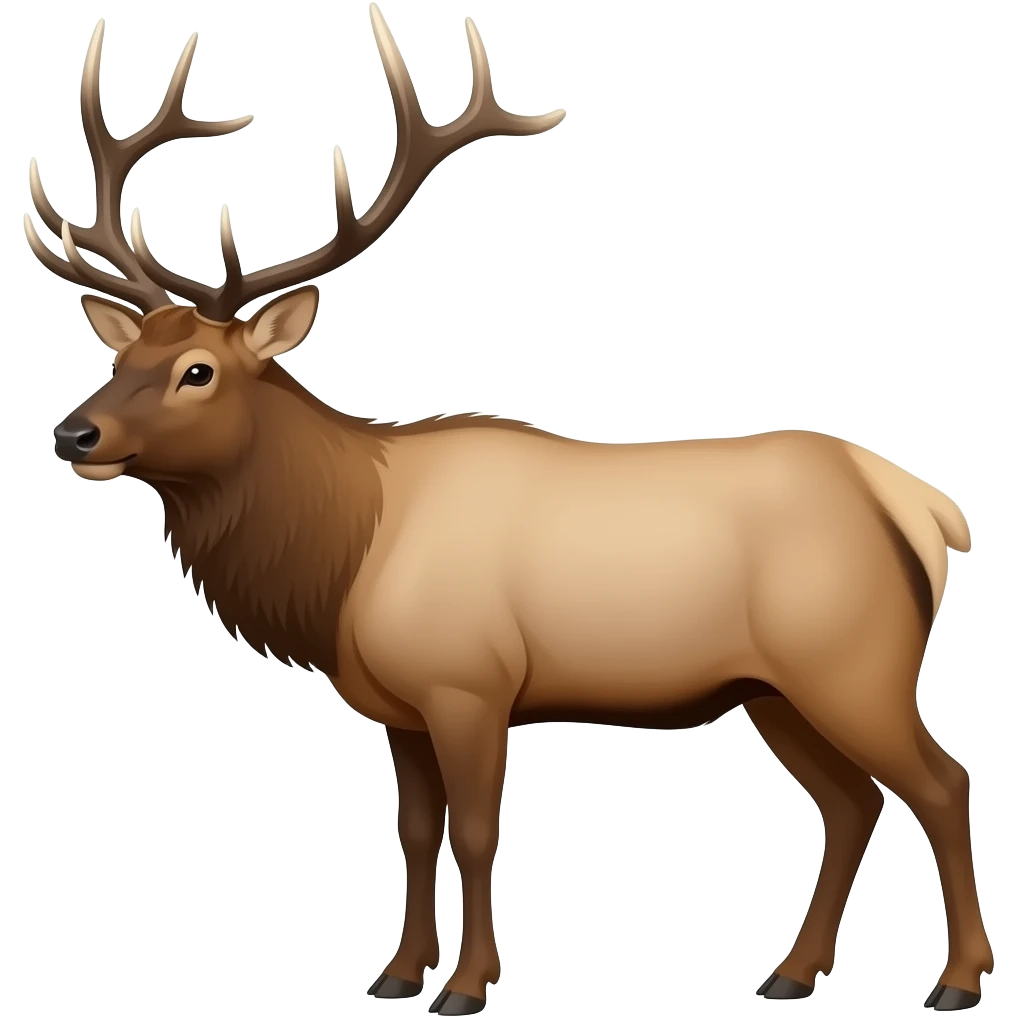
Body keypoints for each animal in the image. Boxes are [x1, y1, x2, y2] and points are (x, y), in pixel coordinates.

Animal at [28, 10, 990, 1017]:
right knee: (851, 803)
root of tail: (923, 507)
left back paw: (956, 979)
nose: (74, 432)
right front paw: (397, 971)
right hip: (774, 689)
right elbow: (414, 833)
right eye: (122, 357)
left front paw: (467, 983)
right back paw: (791, 970)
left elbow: (477, 833)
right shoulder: (399, 707)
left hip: (853, 662)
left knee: (940, 782)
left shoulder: (470, 683)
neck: (343, 557)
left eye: (198, 371)